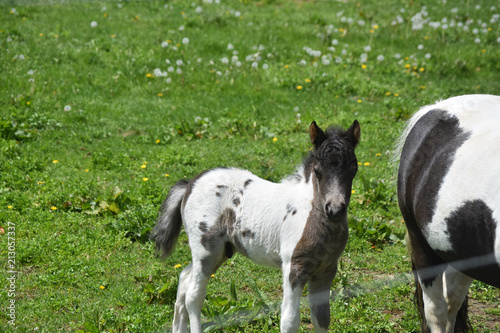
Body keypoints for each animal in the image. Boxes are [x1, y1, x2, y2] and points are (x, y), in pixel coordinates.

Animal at [152, 118, 360, 330]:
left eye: (354, 170)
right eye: (318, 171)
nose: (335, 209)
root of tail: (190, 184)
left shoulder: (326, 270)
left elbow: (322, 318)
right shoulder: (294, 268)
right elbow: (290, 320)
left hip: (219, 252)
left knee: (184, 280)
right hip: (205, 250)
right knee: (194, 296)